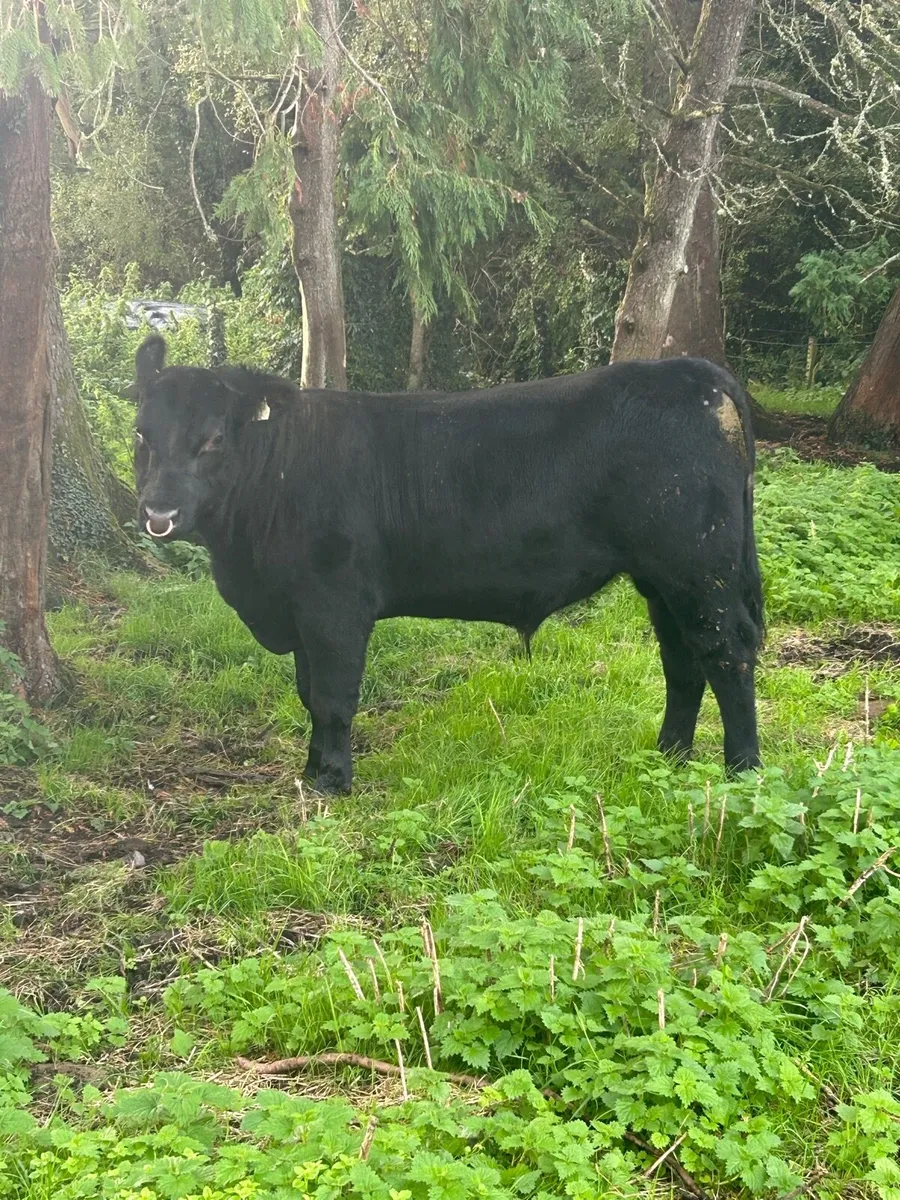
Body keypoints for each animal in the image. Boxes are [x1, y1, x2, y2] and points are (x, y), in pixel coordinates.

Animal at [132, 334, 763, 794]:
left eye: (213, 439)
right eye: (141, 435)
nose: (158, 511)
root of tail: (693, 372)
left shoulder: (333, 605)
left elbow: (333, 698)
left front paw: (332, 782)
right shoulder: (299, 609)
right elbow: (309, 694)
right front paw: (312, 771)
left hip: (699, 567)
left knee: (726, 652)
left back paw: (743, 771)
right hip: (662, 578)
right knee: (682, 659)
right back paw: (670, 756)